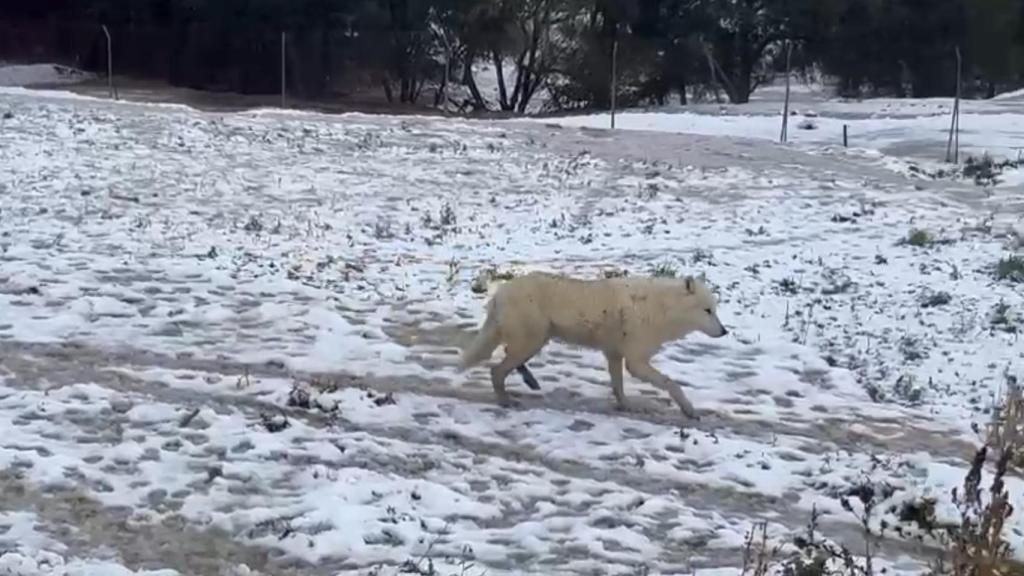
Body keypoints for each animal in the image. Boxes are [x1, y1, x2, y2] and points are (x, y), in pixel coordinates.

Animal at [458, 271, 728, 419]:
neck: (661, 309)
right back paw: (506, 400)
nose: (725, 331)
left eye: (715, 311)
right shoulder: (635, 363)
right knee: (497, 370)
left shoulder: (614, 355)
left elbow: (618, 388)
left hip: (535, 341)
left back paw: (529, 382)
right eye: (708, 311)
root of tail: (499, 293)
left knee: (506, 360)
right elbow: (672, 384)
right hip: (533, 342)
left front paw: (626, 407)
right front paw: (689, 410)